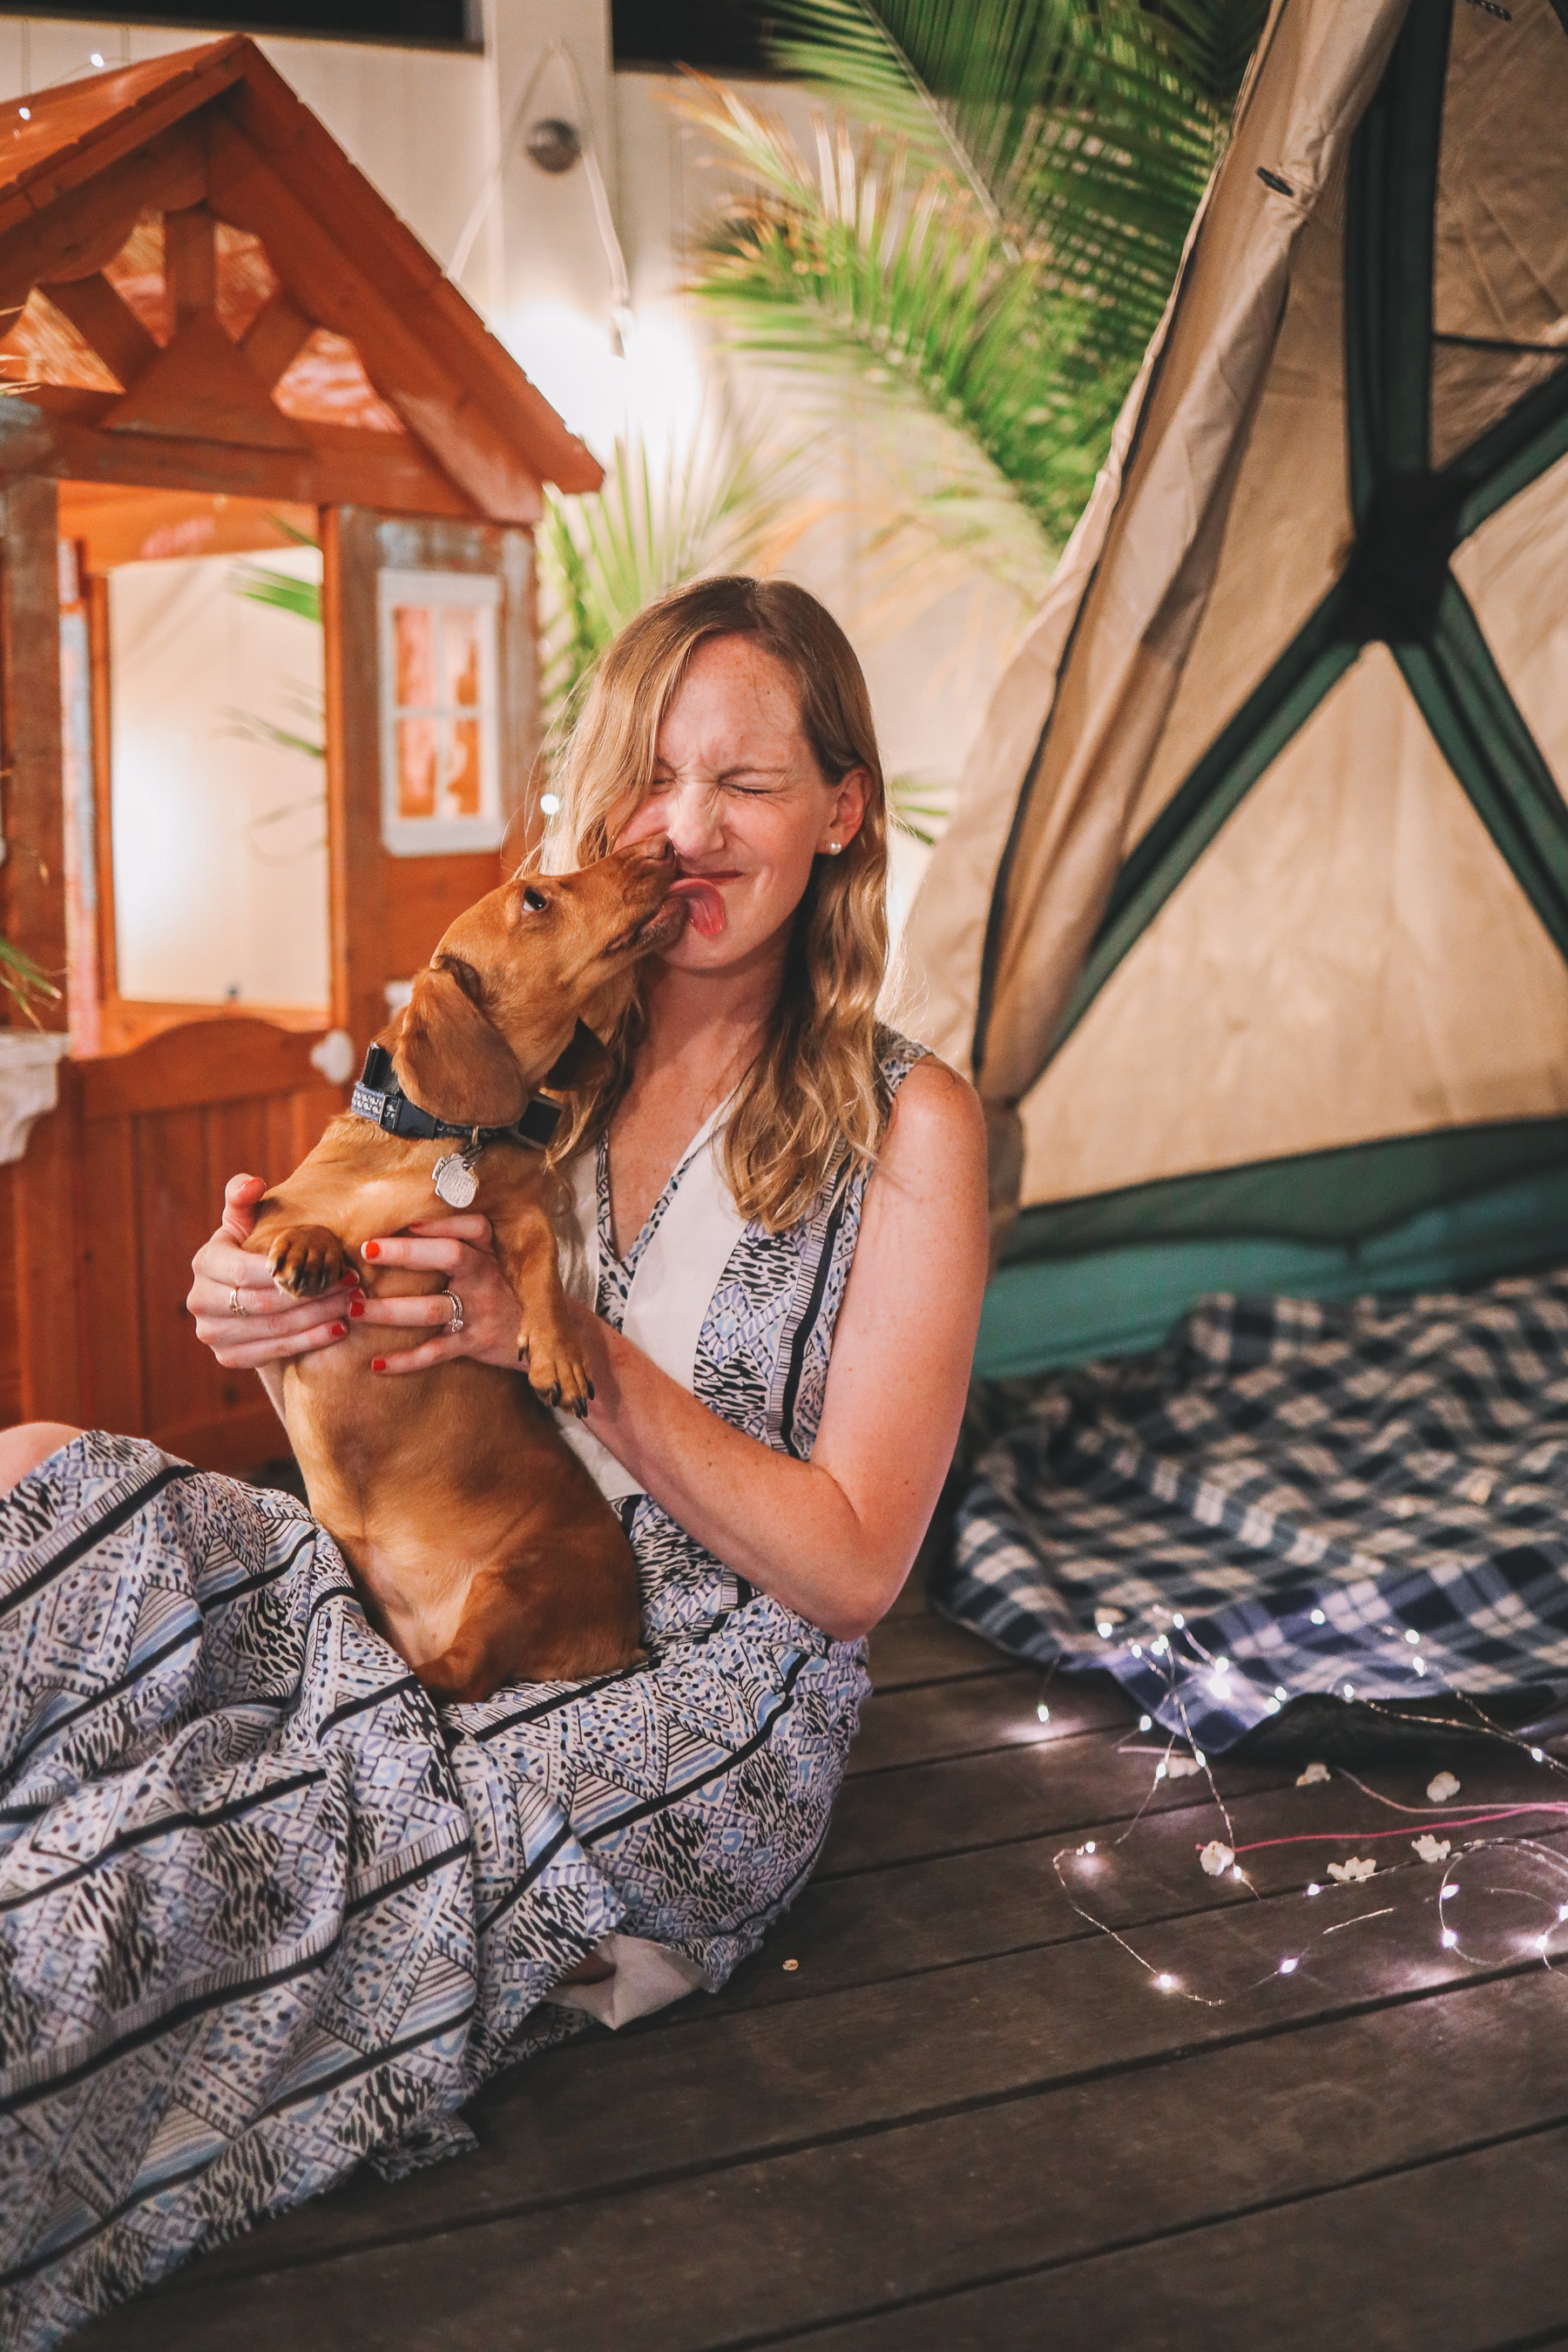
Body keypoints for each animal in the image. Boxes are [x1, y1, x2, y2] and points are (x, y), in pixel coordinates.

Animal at [241, 837, 681, 1702]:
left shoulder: (510, 1219)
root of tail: (623, 1634)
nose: (659, 847)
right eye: (535, 898)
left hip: (521, 1579)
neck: (433, 1140)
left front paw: (556, 1353)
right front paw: (316, 1249)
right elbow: (302, 1222)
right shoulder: (250, 1226)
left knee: (456, 1676)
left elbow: (539, 1264)